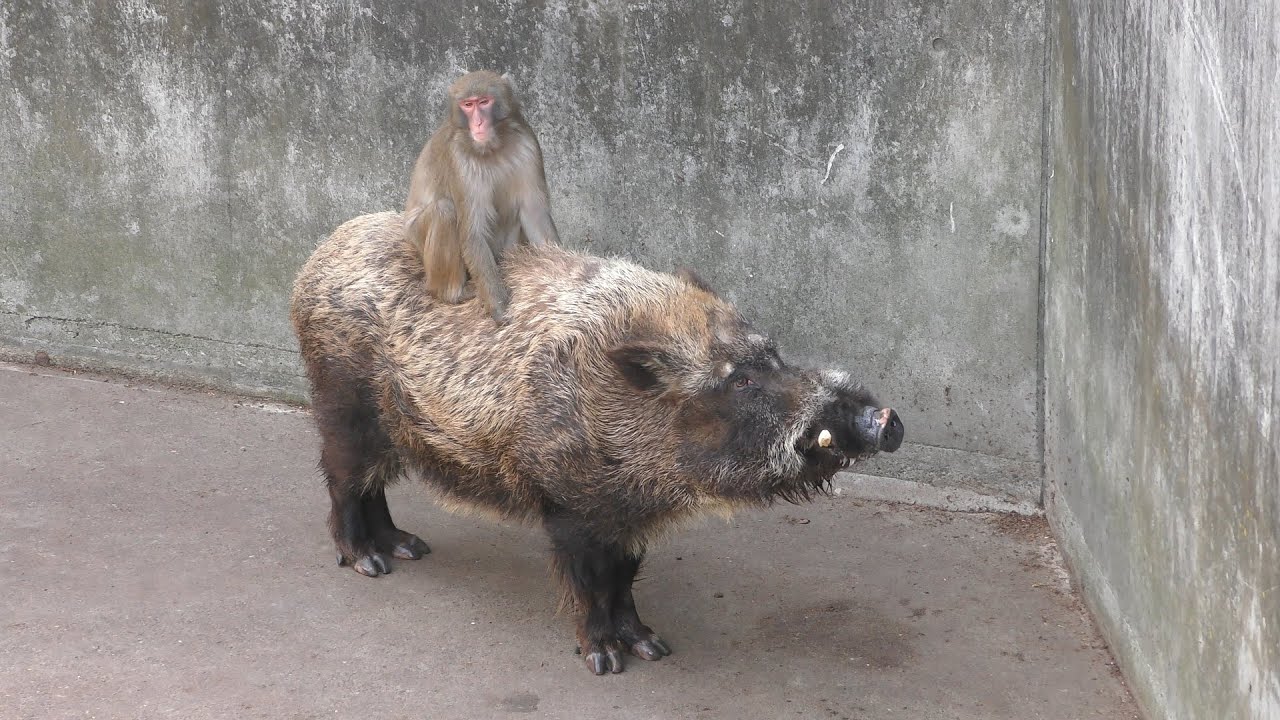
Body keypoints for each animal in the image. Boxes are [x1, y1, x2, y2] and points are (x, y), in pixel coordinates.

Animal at [288, 211, 904, 675]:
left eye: (773, 355)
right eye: (740, 381)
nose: (884, 418)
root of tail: (318, 257)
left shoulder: (627, 515)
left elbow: (623, 580)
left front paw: (654, 648)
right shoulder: (569, 506)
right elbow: (589, 583)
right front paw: (605, 662)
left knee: (371, 488)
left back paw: (410, 548)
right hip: (342, 404)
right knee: (342, 482)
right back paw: (369, 564)